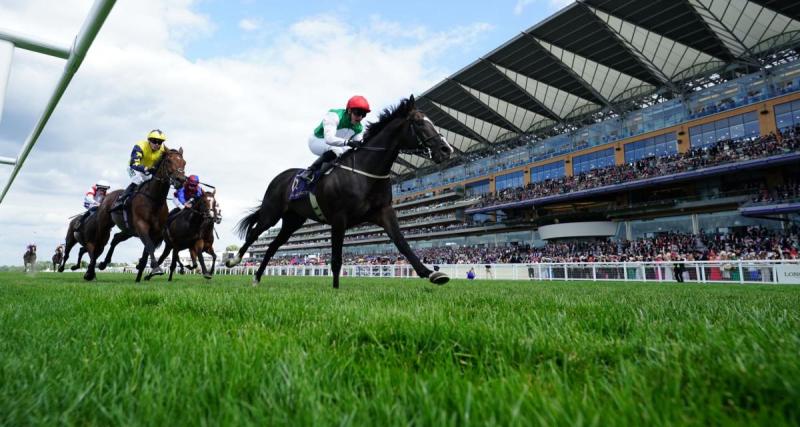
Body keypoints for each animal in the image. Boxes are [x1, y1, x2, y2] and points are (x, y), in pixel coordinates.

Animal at [83, 149, 188, 282]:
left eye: (184, 162)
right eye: (169, 161)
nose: (181, 179)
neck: (154, 199)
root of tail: (106, 197)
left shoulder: (155, 232)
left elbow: (146, 252)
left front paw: (140, 276)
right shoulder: (141, 225)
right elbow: (149, 246)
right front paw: (155, 269)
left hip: (129, 230)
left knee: (116, 238)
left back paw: (103, 264)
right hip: (104, 225)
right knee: (97, 246)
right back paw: (90, 272)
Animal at [227, 97, 450, 288]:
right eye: (419, 122)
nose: (446, 149)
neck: (366, 172)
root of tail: (279, 178)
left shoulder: (384, 212)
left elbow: (403, 243)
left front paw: (432, 273)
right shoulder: (338, 218)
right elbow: (336, 259)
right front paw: (335, 290)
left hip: (292, 221)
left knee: (272, 246)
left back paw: (256, 278)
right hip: (271, 212)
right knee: (254, 233)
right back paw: (233, 260)